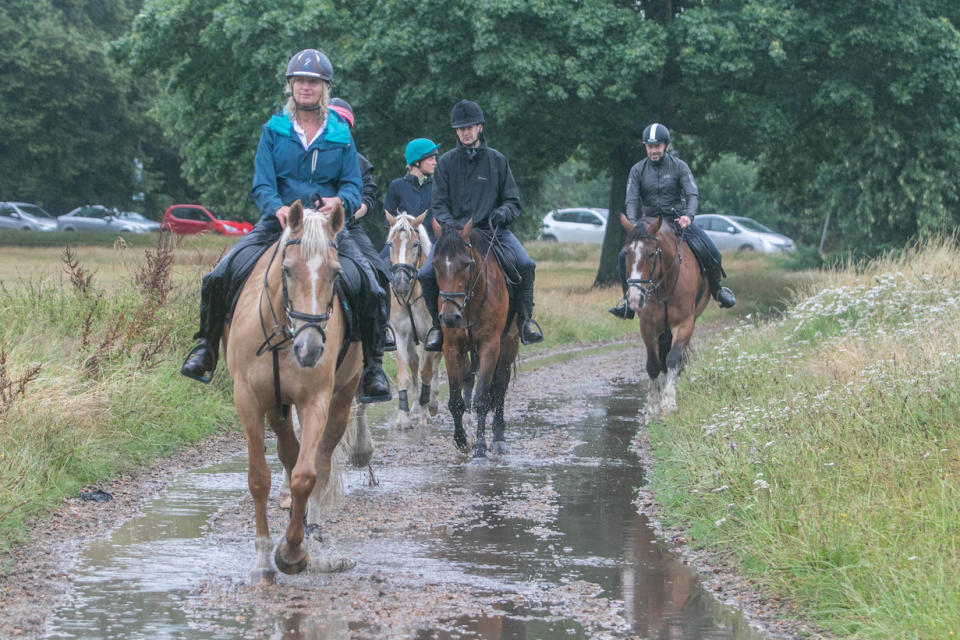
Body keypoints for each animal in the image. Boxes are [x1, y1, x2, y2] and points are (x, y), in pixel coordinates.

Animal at [223, 201, 366, 584]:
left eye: (335, 273)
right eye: (287, 271)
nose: (310, 349)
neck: (283, 338)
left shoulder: (315, 401)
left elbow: (307, 475)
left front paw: (292, 551)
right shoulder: (248, 400)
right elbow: (259, 479)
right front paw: (262, 561)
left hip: (341, 399)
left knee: (319, 461)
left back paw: (310, 528)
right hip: (276, 406)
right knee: (288, 452)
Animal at [432, 218, 516, 458]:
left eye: (466, 264)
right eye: (436, 264)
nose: (449, 317)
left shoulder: (490, 346)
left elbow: (482, 398)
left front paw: (479, 448)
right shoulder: (451, 348)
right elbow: (455, 400)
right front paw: (461, 440)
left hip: (509, 344)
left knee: (500, 385)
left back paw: (498, 438)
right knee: (469, 377)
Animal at [620, 212, 708, 418]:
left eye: (651, 254)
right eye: (627, 253)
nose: (635, 299)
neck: (665, 285)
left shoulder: (684, 323)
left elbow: (673, 358)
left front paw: (668, 403)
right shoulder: (648, 327)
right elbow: (653, 363)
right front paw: (653, 406)